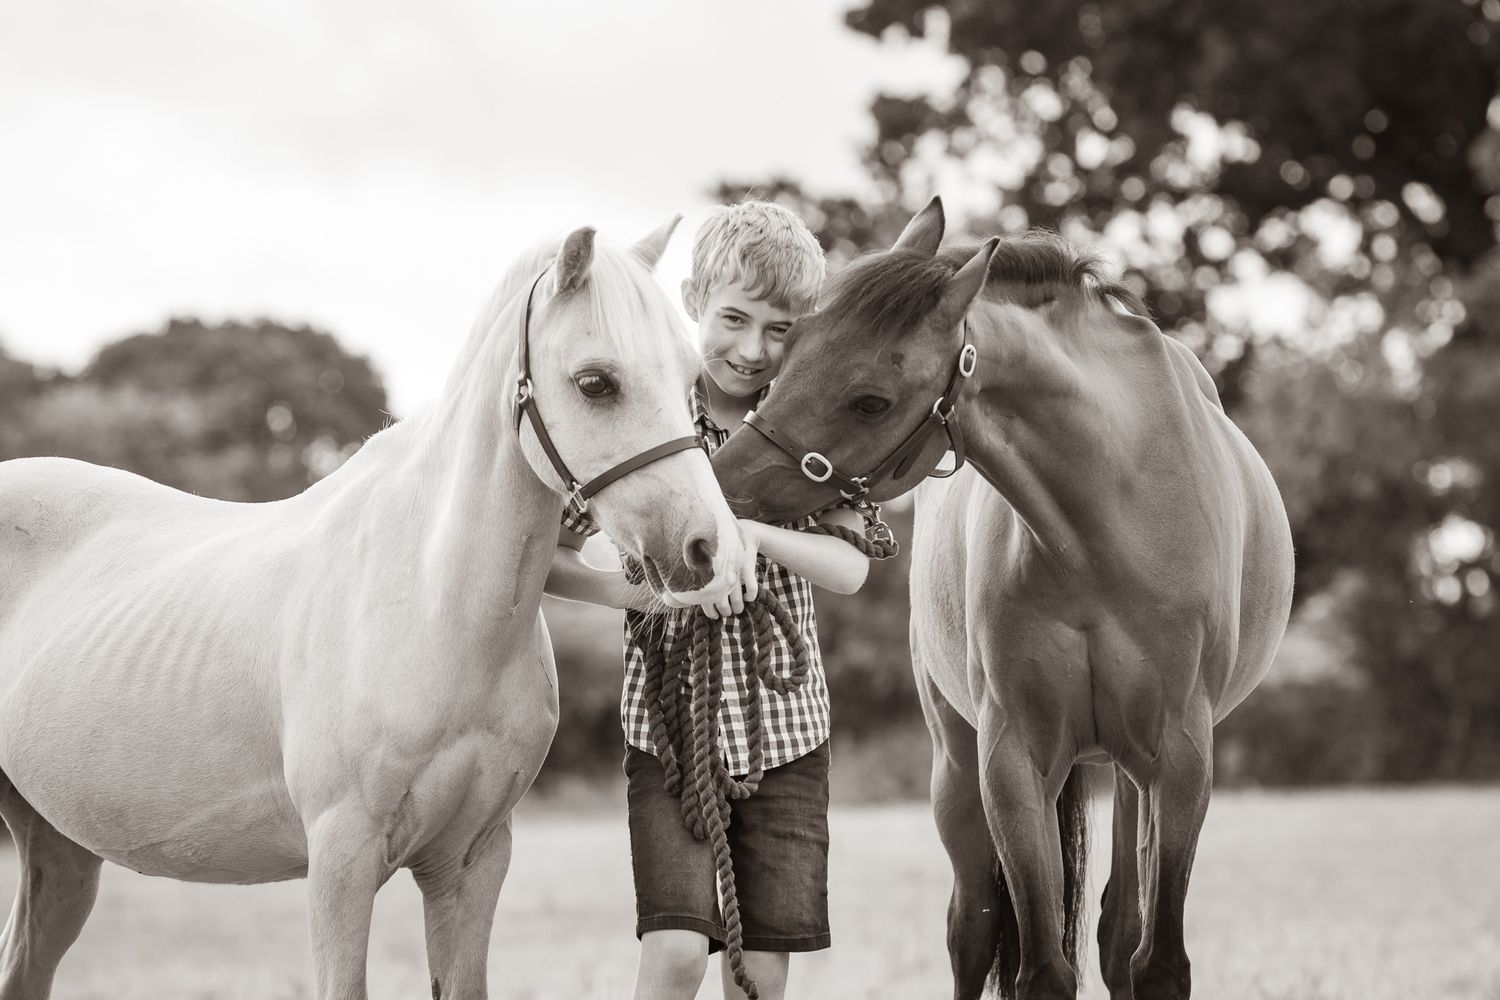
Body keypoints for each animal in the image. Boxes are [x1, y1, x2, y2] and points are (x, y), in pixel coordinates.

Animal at [0, 218, 746, 1000]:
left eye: (691, 380)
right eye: (595, 382)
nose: (709, 552)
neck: (433, 603)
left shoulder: (471, 861)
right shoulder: (341, 858)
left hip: (59, 848)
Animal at [711, 198, 1294, 1000]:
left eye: (870, 401)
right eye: (788, 343)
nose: (714, 487)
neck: (1105, 523)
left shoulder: (1182, 758)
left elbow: (1159, 961)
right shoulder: (1011, 759)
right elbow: (1040, 967)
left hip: (1132, 774)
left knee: (1119, 930)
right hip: (957, 767)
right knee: (973, 926)